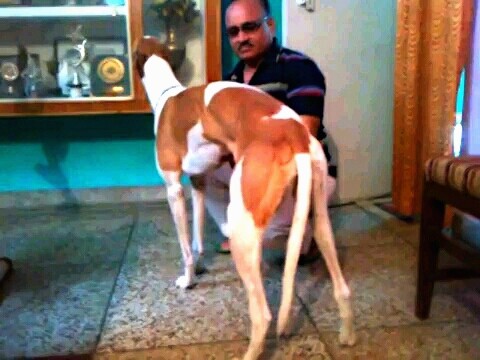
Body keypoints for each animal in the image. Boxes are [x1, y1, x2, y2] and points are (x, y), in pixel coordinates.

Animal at [133, 35, 354, 358]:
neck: (167, 92)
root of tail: (294, 133)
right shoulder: (198, 183)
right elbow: (198, 240)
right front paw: (200, 267)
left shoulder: (174, 189)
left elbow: (185, 248)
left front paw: (188, 280)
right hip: (319, 218)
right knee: (341, 286)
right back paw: (348, 335)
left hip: (243, 228)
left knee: (263, 315)